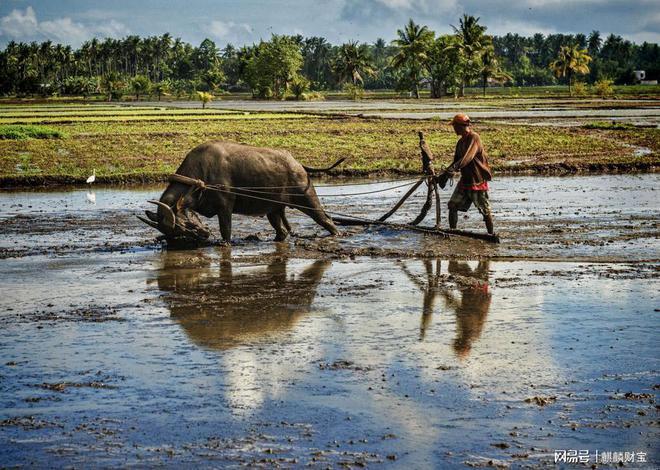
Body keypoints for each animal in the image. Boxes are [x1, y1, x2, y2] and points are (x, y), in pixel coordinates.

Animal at [141, 140, 346, 242]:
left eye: (185, 226)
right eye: (176, 233)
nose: (205, 235)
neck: (199, 179)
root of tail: (298, 164)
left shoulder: (225, 208)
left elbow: (226, 230)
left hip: (307, 198)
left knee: (326, 219)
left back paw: (336, 234)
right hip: (273, 209)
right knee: (281, 230)